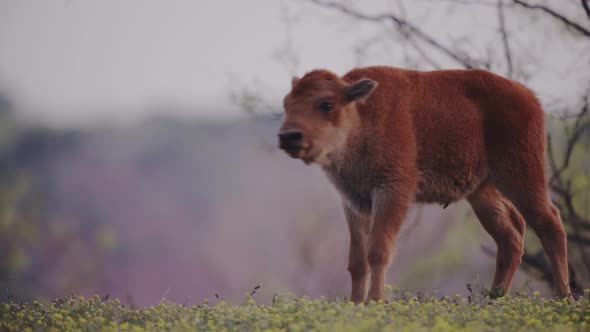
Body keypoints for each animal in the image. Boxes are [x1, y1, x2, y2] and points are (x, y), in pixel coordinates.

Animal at [280, 66, 572, 302]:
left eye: (326, 104)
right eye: (286, 103)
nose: (288, 136)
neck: (361, 114)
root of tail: (529, 97)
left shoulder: (392, 191)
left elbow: (378, 250)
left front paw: (375, 302)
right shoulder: (353, 202)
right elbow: (357, 260)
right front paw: (355, 304)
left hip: (522, 175)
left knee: (549, 222)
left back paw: (563, 297)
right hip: (482, 192)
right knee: (510, 235)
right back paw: (493, 298)